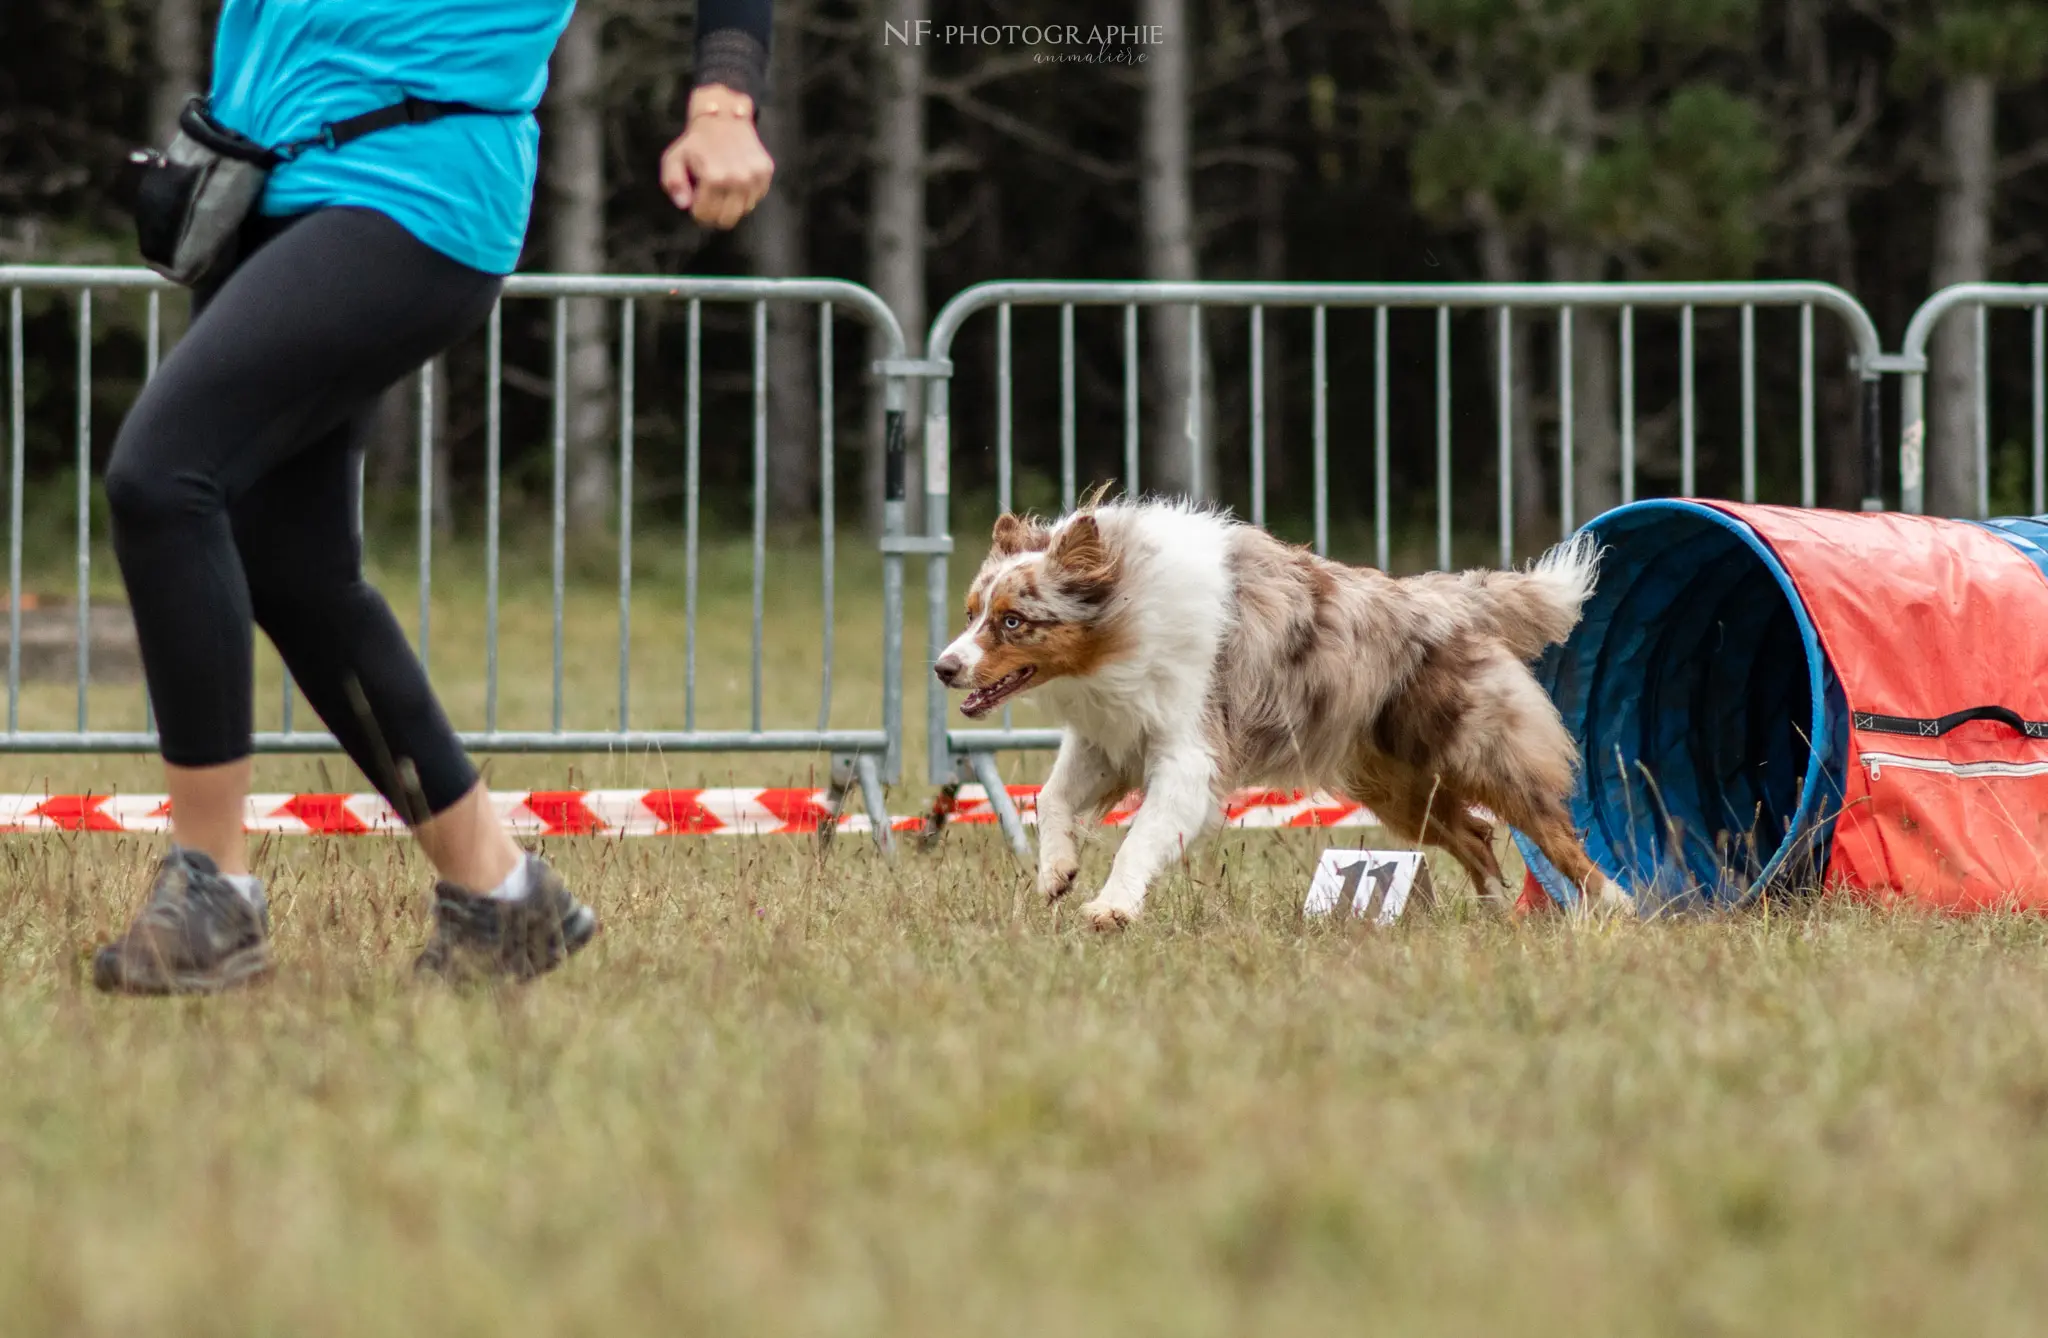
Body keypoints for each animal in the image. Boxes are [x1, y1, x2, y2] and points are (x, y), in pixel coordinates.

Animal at [937, 493, 1622, 930]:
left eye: (1012, 621)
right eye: (972, 613)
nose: (944, 667)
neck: (1125, 611)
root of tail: (1443, 599)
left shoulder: (1190, 753)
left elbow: (1141, 836)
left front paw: (1112, 909)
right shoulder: (1111, 736)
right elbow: (1049, 797)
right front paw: (1056, 872)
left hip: (1480, 752)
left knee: (1555, 833)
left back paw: (1615, 902)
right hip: (1395, 786)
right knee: (1475, 835)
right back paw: (1492, 915)